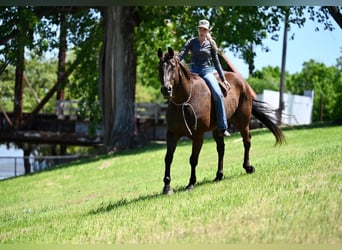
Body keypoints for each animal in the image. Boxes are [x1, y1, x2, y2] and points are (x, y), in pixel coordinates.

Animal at [158, 47, 286, 195]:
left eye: (173, 66)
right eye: (159, 67)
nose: (166, 89)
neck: (184, 101)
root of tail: (242, 82)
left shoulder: (198, 136)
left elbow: (193, 159)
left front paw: (191, 183)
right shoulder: (172, 134)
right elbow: (168, 158)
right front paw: (167, 187)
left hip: (242, 122)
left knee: (246, 141)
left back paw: (248, 167)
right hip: (217, 129)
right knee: (221, 149)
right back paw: (219, 175)